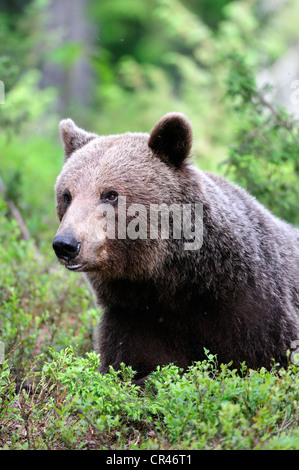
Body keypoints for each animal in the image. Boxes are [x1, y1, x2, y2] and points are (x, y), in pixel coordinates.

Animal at [52, 112, 299, 384]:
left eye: (110, 194)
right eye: (66, 195)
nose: (65, 244)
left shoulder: (254, 310)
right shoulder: (137, 318)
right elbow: (138, 366)